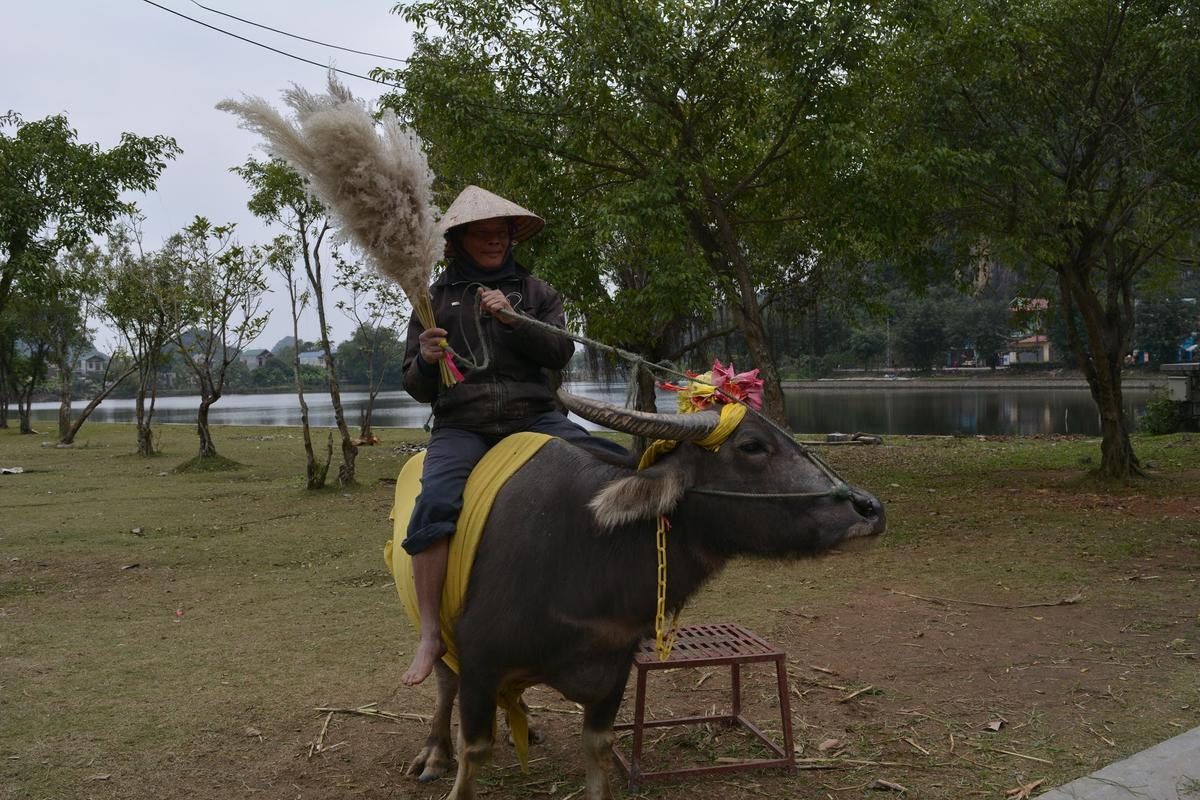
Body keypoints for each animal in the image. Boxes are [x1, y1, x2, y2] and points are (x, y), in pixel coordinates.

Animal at [408, 391, 888, 796]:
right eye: (751, 446)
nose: (869, 509)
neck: (584, 545)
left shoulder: (615, 664)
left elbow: (598, 746)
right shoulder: (479, 658)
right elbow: (474, 750)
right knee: (444, 680)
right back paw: (433, 753)